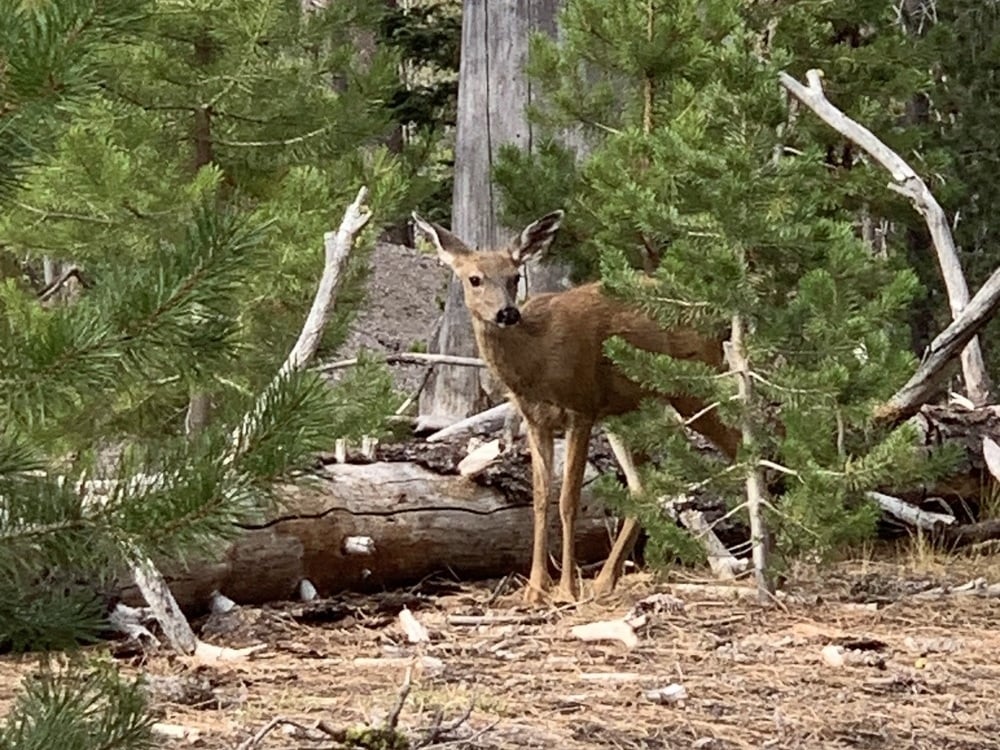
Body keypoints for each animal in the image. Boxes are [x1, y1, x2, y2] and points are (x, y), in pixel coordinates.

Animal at [412, 210, 741, 604]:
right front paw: (536, 588)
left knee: (742, 440)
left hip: (691, 384)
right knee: (641, 486)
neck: (536, 363)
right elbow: (540, 500)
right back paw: (604, 581)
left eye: (514, 276)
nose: (507, 313)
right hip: (628, 410)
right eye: (474, 279)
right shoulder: (536, 419)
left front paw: (566, 589)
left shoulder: (580, 408)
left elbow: (569, 499)